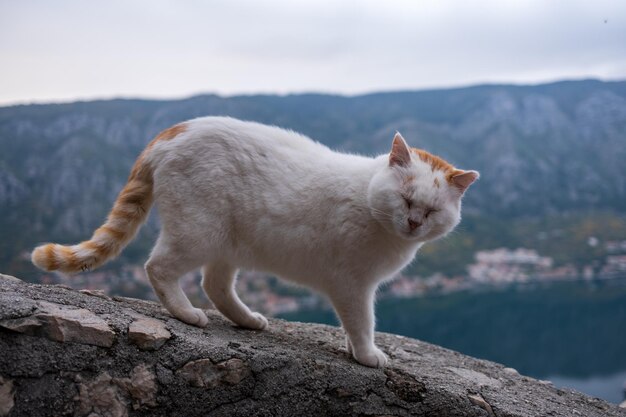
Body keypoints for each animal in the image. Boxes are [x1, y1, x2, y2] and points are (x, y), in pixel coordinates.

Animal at [30, 115, 478, 366]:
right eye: (406, 200)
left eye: (431, 211)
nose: (414, 223)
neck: (373, 206)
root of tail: (175, 130)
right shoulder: (353, 285)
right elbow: (362, 323)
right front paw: (367, 355)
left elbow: (357, 326)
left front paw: (356, 351)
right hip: (198, 232)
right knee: (158, 268)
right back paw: (185, 312)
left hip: (230, 245)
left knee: (215, 285)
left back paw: (247, 320)